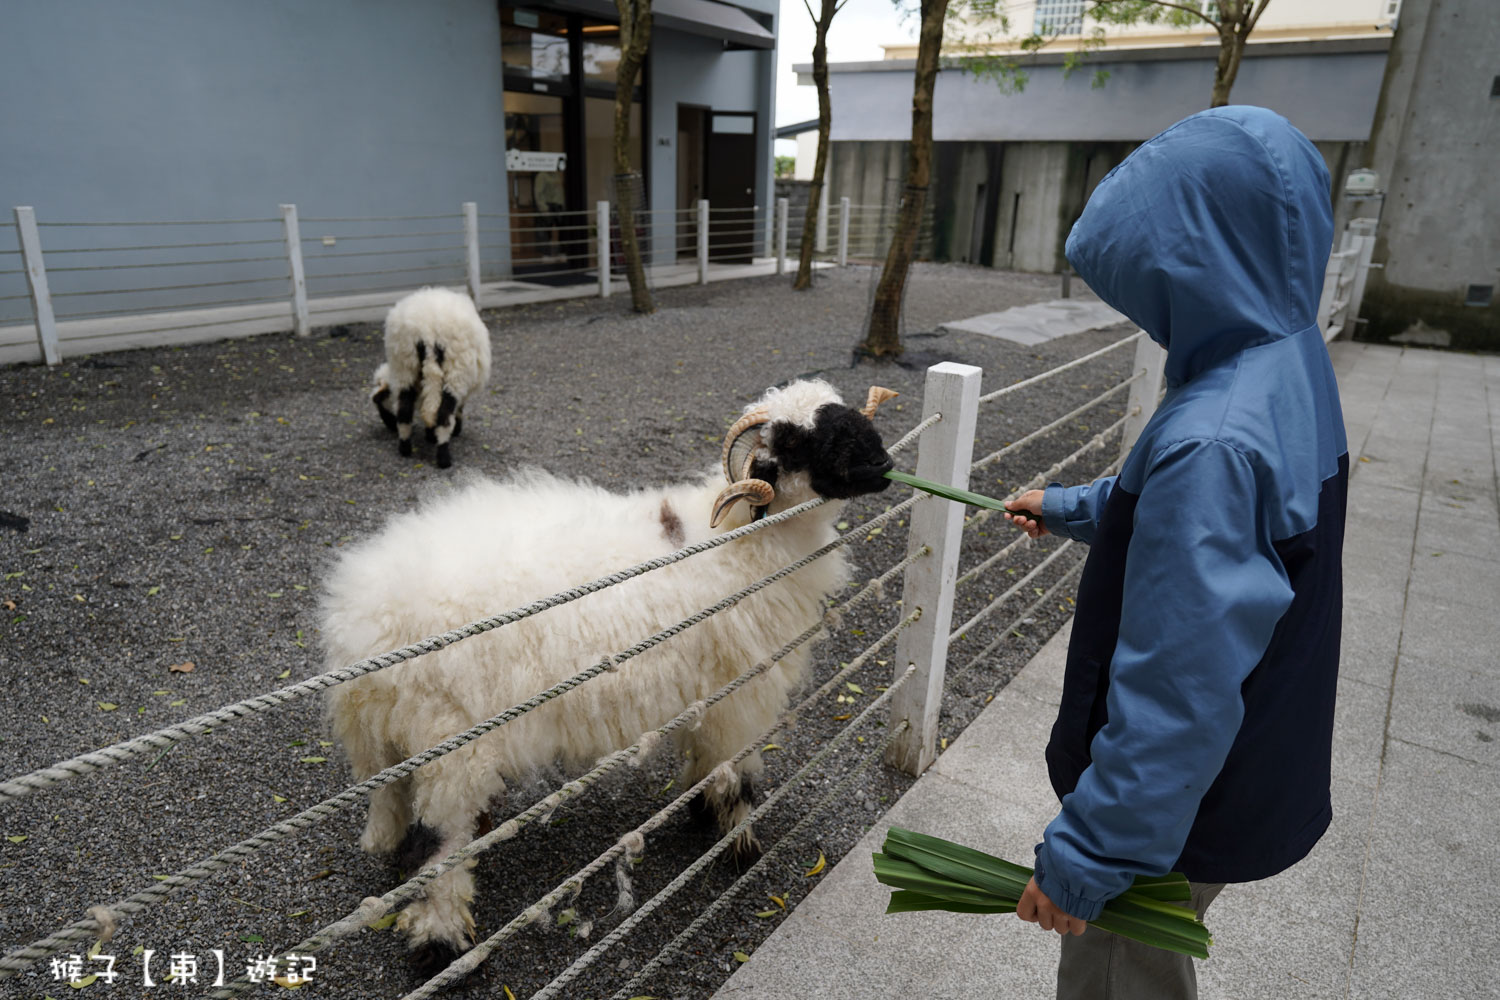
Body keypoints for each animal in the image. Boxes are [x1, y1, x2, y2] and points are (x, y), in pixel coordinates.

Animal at [322, 377, 894, 971]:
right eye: (796, 440)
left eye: (845, 415)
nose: (883, 462)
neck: (746, 544)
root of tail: (360, 627)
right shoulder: (738, 699)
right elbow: (735, 777)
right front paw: (739, 847)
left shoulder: (705, 697)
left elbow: (703, 765)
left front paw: (698, 813)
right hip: (449, 744)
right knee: (436, 847)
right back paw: (441, 944)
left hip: (400, 750)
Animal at [370, 283, 492, 467]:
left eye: (380, 406)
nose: (389, 427)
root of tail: (426, 332)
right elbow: (456, 408)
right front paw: (452, 431)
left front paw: (429, 435)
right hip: (455, 371)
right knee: (443, 415)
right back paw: (444, 459)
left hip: (405, 365)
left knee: (405, 410)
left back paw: (405, 449)